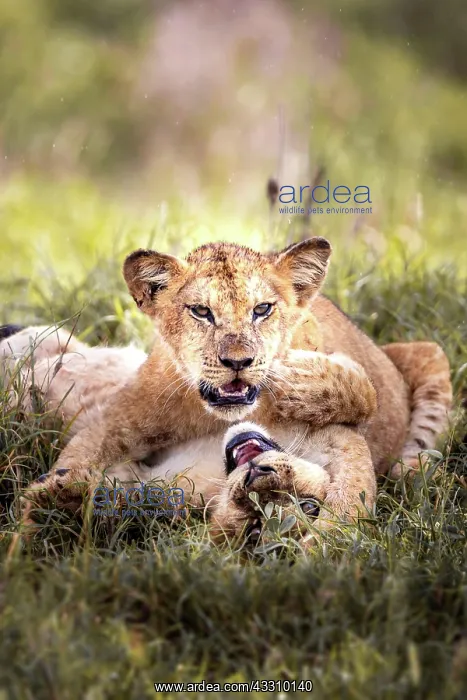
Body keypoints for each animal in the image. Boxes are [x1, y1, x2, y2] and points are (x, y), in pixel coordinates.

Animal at [0, 237, 452, 544]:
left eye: (262, 309)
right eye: (201, 311)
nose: (239, 362)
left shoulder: (342, 437)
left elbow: (348, 507)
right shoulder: (118, 422)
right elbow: (77, 459)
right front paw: (37, 529)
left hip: (431, 355)